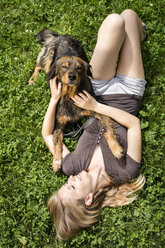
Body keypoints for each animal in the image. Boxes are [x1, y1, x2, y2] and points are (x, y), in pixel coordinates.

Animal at [28, 28, 122, 172]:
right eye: (64, 67)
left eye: (79, 67)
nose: (72, 76)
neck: (71, 95)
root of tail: (59, 36)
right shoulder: (58, 125)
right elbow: (57, 142)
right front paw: (56, 161)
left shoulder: (98, 110)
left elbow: (107, 130)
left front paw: (115, 148)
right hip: (48, 60)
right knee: (39, 66)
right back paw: (33, 79)